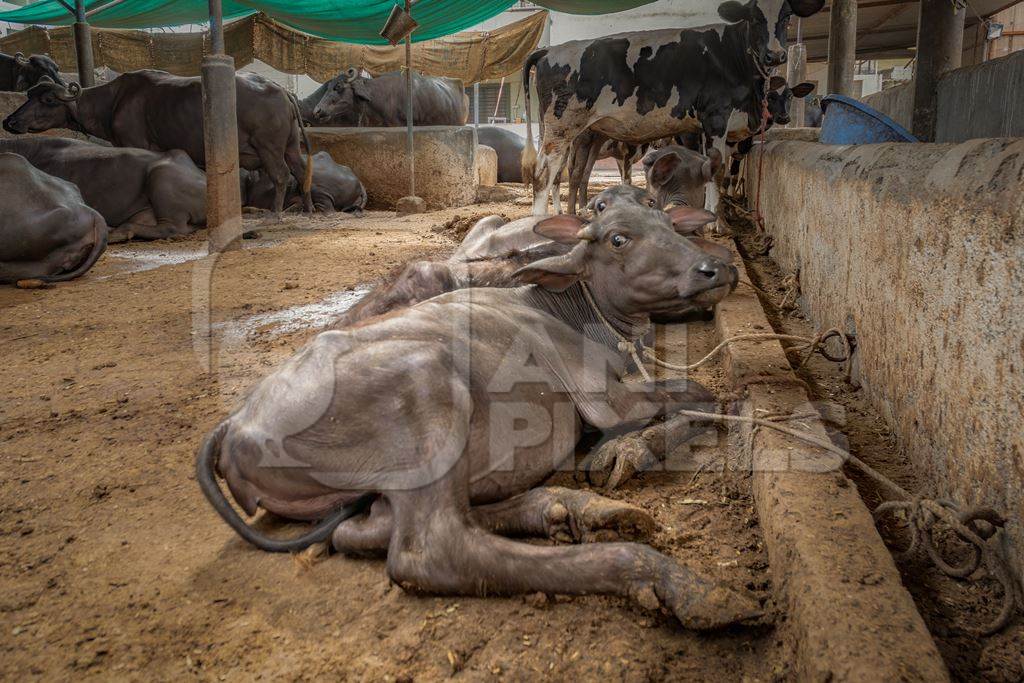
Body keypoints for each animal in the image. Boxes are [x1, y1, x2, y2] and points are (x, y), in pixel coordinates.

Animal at [199, 202, 753, 630]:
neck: (570, 312)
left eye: (671, 224)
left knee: (367, 527)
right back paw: (670, 579)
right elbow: (705, 395)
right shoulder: (606, 400)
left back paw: (570, 510)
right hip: (426, 393)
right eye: (619, 238)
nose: (717, 268)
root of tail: (234, 423)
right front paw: (629, 450)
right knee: (431, 551)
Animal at [524, 0, 827, 214]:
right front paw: (714, 219)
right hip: (561, 129)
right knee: (544, 176)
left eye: (786, 17)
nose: (775, 55)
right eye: (754, 18)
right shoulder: (715, 116)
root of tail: (550, 50)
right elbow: (717, 169)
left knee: (570, 175)